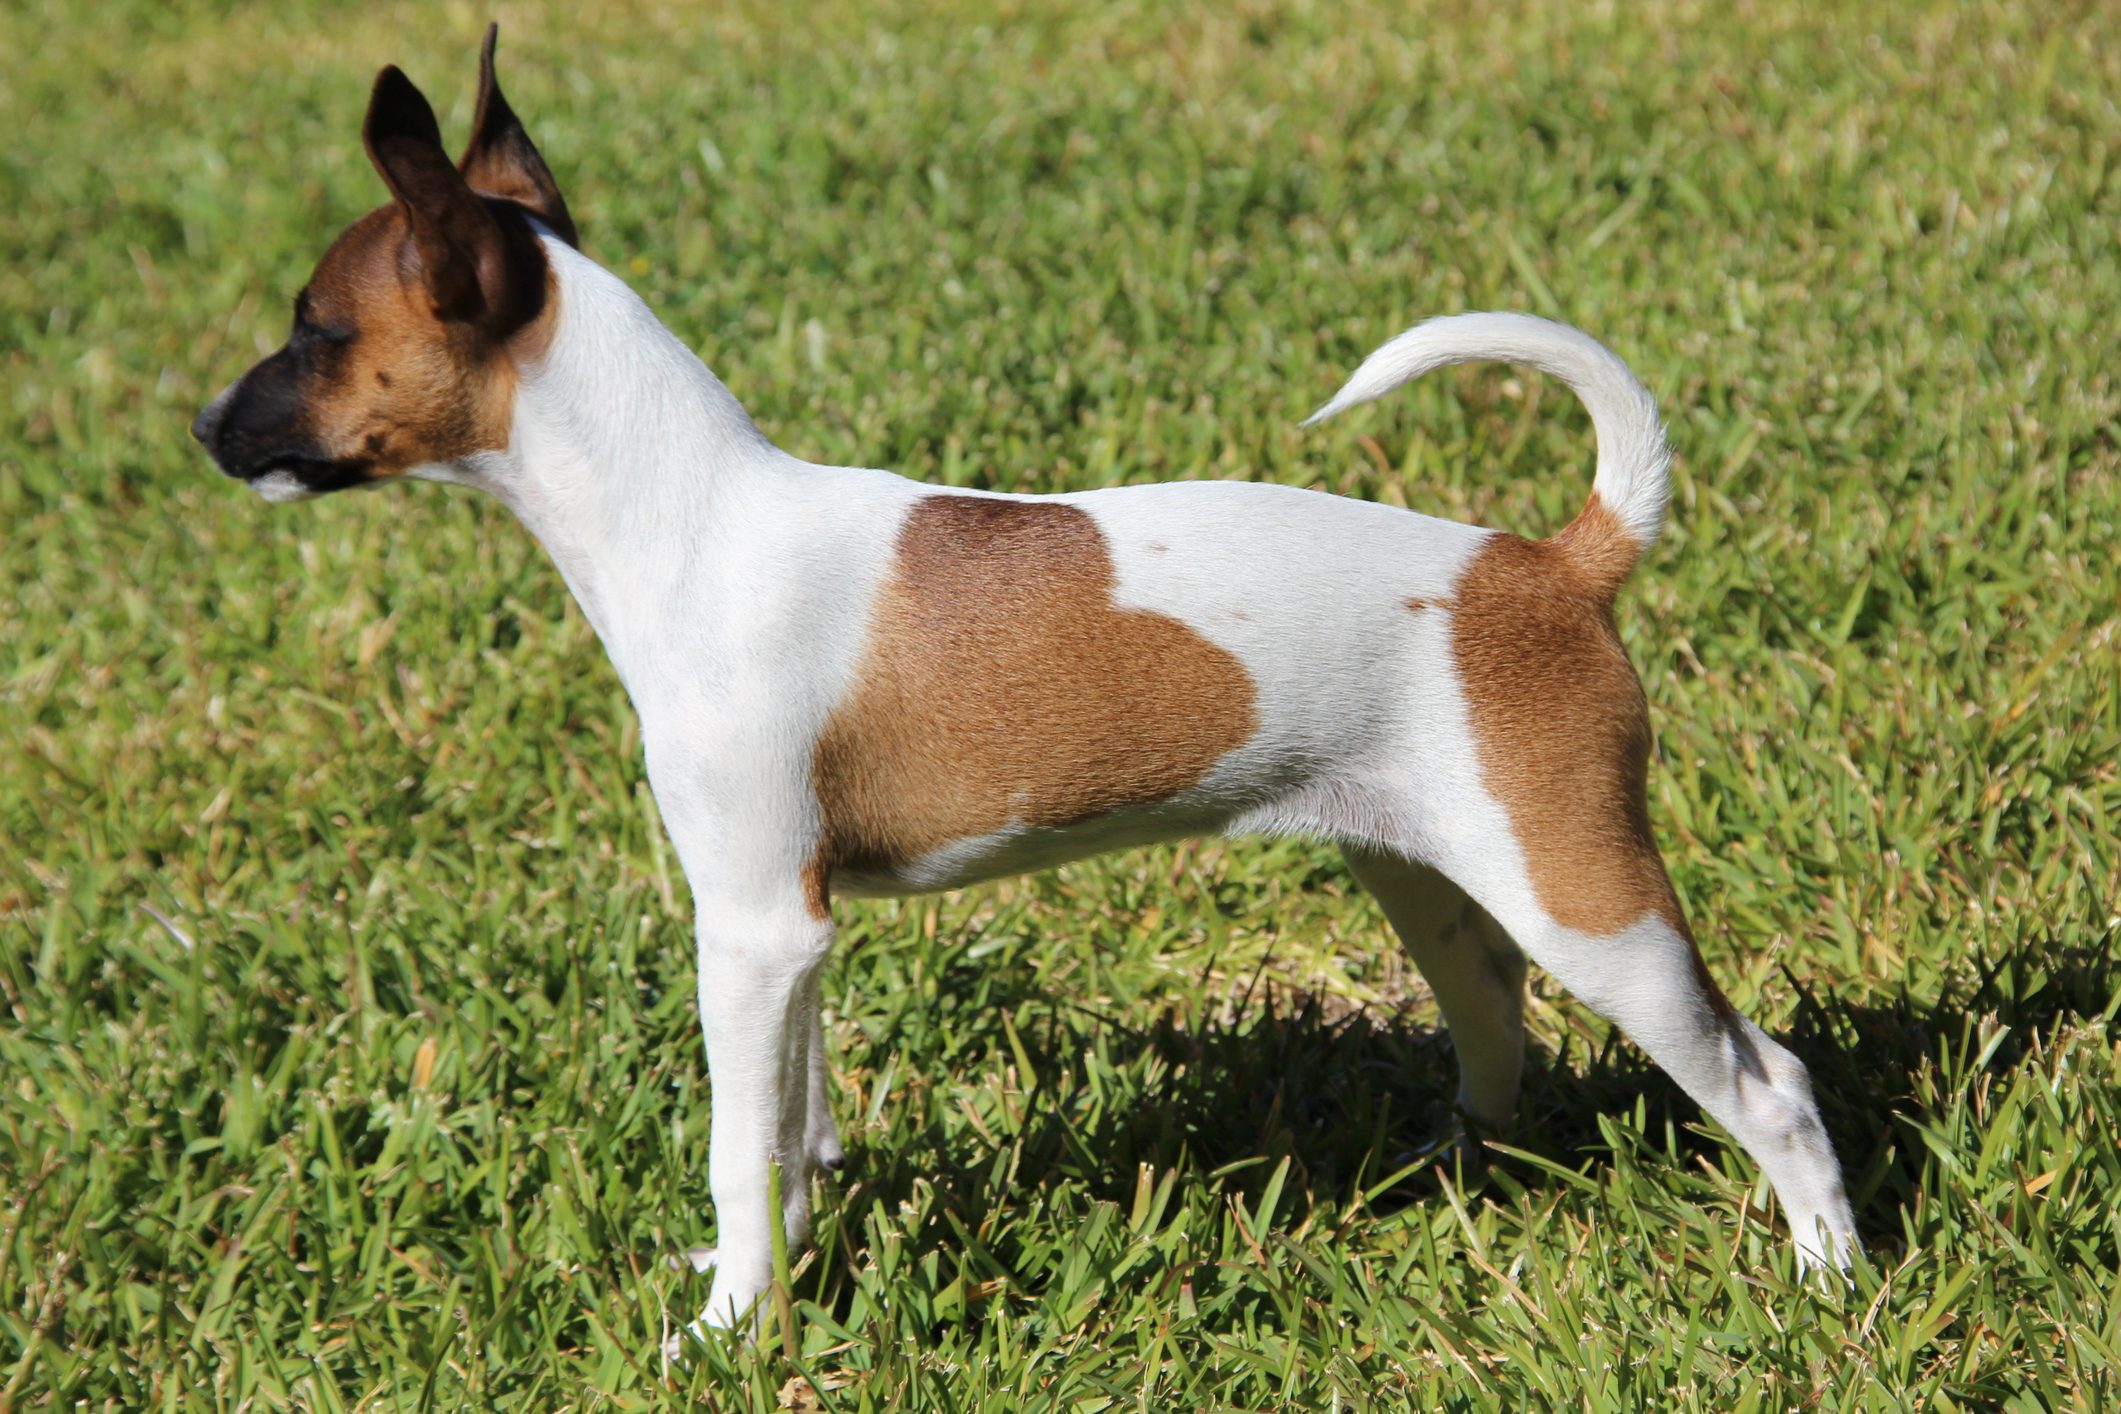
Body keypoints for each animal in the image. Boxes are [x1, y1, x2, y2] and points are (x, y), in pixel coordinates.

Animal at [199, 27, 1857, 1348]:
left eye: (315, 330)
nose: (205, 427)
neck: (693, 516)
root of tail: (1551, 562)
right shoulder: (792, 938)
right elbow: (798, 1127)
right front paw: (789, 1262)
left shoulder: (748, 929)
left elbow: (744, 1141)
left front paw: (727, 1327)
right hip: (1431, 873)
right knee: (1494, 1018)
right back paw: (1447, 1182)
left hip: (1587, 897)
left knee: (1767, 1081)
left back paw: (1829, 1284)